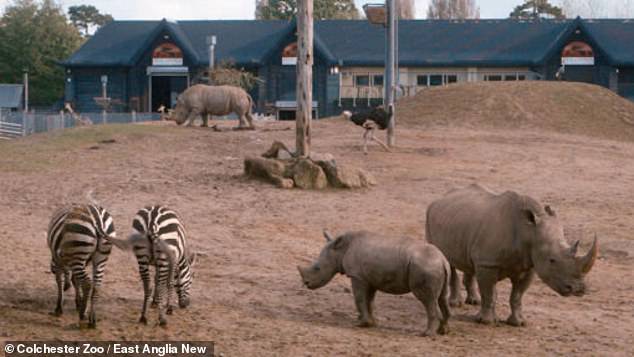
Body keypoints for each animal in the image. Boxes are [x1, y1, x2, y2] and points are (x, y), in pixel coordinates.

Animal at [296, 229, 450, 336]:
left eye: (317, 268)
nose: (306, 283)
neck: (341, 250)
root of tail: (443, 260)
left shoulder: (357, 276)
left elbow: (359, 298)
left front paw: (361, 324)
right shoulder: (370, 278)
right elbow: (369, 300)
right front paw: (370, 323)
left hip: (426, 266)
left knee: (427, 300)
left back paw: (426, 334)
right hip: (435, 266)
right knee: (441, 298)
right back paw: (443, 331)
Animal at [422, 184, 596, 326]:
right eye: (552, 260)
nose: (578, 289)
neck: (529, 232)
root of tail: (441, 197)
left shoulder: (529, 265)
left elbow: (517, 295)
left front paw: (518, 323)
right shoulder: (488, 263)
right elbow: (489, 293)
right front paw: (486, 322)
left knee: (468, 261)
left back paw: (474, 301)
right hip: (430, 217)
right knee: (448, 261)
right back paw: (456, 304)